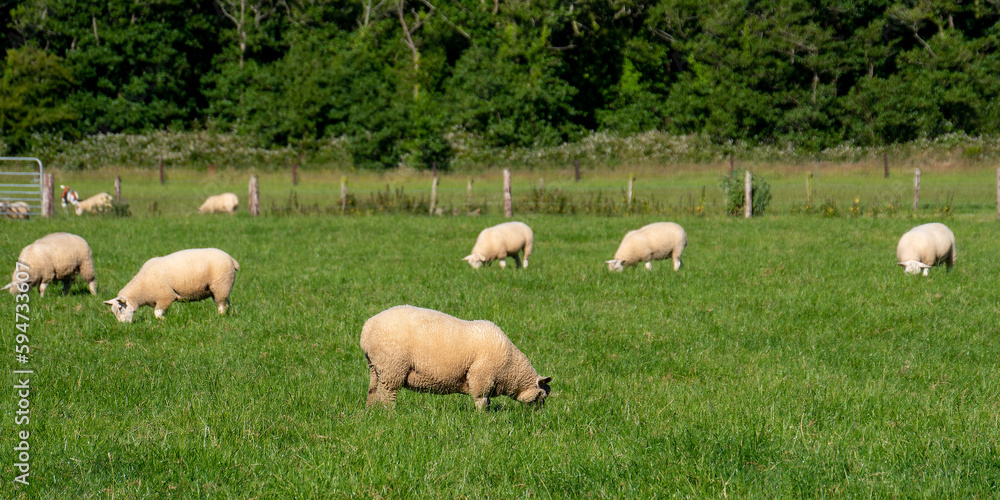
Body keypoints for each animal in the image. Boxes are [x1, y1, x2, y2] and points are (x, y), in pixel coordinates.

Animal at [104, 248, 240, 323]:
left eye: (120, 308)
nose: (123, 326)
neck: (141, 288)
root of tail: (231, 259)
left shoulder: (166, 296)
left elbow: (157, 313)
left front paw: (164, 320)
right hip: (221, 288)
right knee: (226, 303)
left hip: (221, 285)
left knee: (222, 305)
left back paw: (219, 317)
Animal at [360, 305, 551, 411]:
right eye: (541, 396)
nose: (539, 416)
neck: (511, 368)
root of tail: (367, 329)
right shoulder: (481, 376)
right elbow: (482, 401)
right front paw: (483, 418)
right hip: (392, 367)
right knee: (387, 395)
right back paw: (390, 414)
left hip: (376, 367)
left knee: (373, 391)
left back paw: (371, 411)